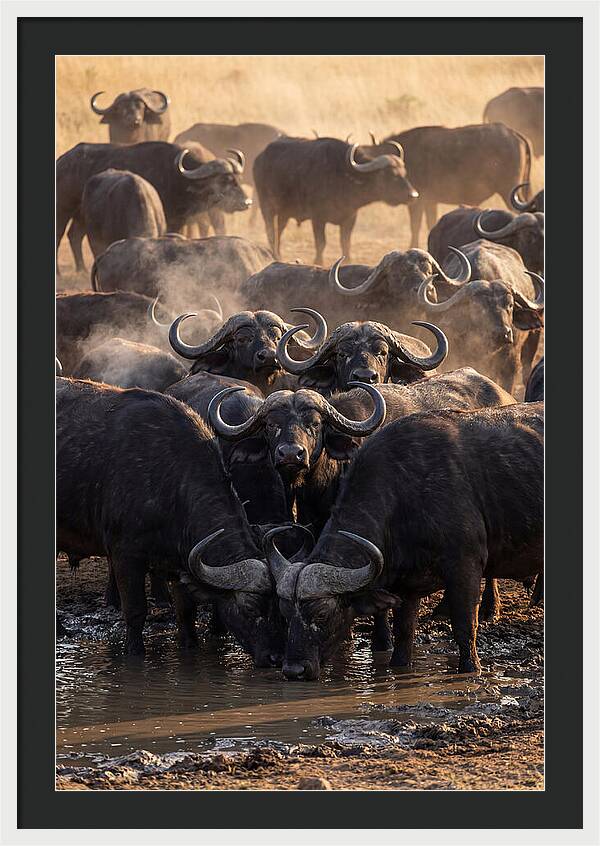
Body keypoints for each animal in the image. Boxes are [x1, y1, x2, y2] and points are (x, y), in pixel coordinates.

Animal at [57, 377, 283, 664]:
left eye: (279, 607)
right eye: (251, 606)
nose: (276, 657)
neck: (171, 480)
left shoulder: (179, 560)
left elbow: (185, 612)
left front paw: (189, 645)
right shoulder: (125, 554)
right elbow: (136, 612)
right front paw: (134, 653)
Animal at [253, 137, 418, 264]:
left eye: (404, 172)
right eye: (390, 174)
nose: (413, 195)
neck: (343, 176)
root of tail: (259, 158)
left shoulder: (350, 217)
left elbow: (345, 242)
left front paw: (348, 260)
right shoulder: (318, 218)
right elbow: (321, 243)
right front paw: (318, 261)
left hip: (284, 213)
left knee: (279, 230)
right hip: (266, 206)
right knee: (270, 232)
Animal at [265, 402, 543, 679]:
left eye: (322, 613)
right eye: (285, 613)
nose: (294, 670)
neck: (405, 495)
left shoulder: (465, 565)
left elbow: (464, 627)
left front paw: (471, 669)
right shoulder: (406, 586)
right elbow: (403, 635)